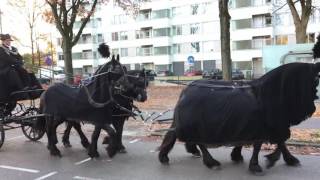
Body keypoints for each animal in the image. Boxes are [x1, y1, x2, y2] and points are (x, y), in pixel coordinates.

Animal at [159, 60, 320, 173]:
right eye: (315, 80)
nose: (313, 108)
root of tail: (185, 91)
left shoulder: (264, 126)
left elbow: (279, 143)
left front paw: (289, 159)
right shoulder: (265, 127)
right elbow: (261, 145)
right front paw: (256, 165)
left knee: (177, 135)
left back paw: (172, 154)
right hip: (198, 125)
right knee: (199, 142)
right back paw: (211, 162)